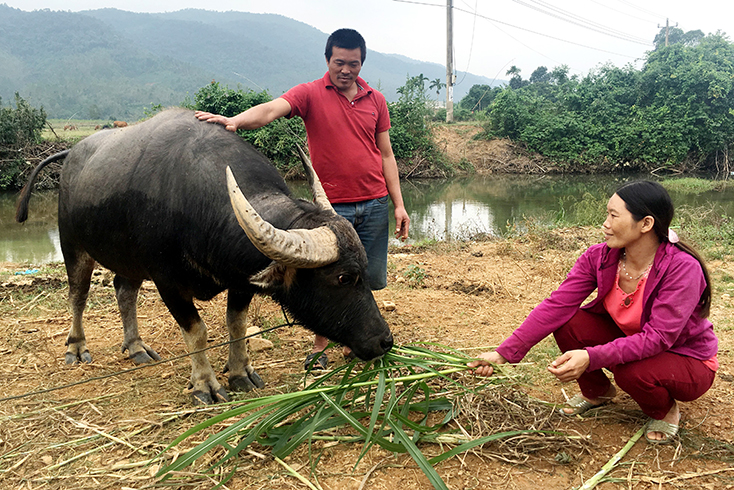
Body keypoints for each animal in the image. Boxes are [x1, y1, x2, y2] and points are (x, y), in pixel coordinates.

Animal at [15, 109, 396, 404]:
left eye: (364, 270)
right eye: (343, 277)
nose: (384, 341)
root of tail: (70, 156)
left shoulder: (241, 280)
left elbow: (236, 324)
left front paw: (241, 372)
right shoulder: (168, 283)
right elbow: (197, 331)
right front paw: (206, 385)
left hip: (129, 260)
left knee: (124, 290)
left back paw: (136, 347)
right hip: (73, 245)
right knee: (78, 295)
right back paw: (76, 347)